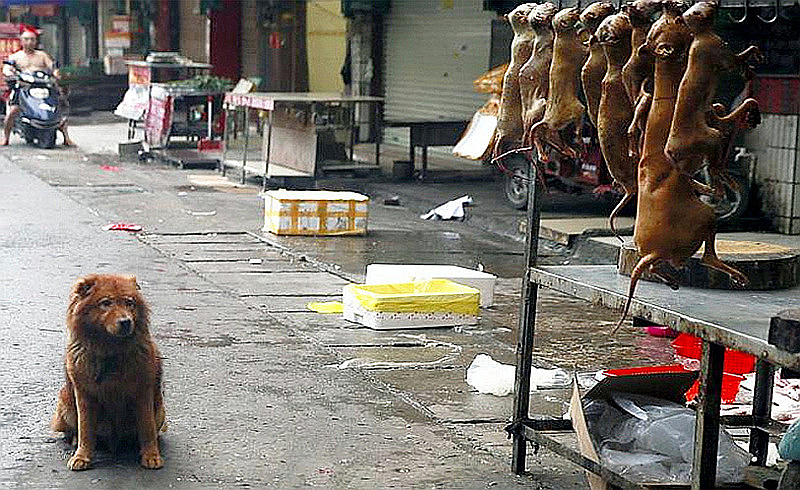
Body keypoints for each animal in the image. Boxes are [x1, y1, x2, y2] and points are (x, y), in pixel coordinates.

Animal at [50, 276, 165, 470]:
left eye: (129, 303)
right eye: (106, 303)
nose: (126, 322)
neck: (110, 351)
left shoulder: (143, 392)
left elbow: (147, 428)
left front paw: (151, 456)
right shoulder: (84, 395)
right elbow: (85, 430)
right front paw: (81, 456)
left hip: (160, 411)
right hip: (65, 401)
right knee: (73, 431)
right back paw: (74, 440)